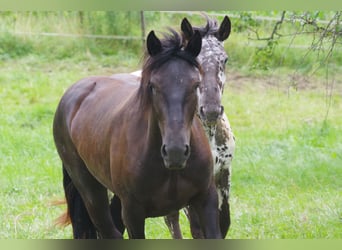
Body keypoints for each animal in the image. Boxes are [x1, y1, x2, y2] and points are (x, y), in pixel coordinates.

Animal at [52, 28, 220, 239]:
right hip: (90, 191)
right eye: (153, 86)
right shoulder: (133, 214)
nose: (175, 152)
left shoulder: (206, 200)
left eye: (195, 85)